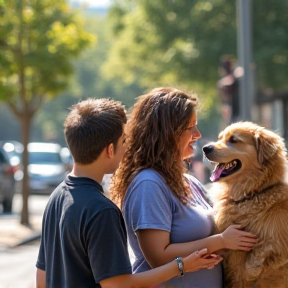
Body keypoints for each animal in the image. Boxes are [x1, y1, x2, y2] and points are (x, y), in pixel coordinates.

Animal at [202, 122, 288, 288]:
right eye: (220, 138)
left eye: (234, 140)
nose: (205, 148)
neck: (252, 194)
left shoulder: (279, 234)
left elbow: (267, 244)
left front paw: (252, 269)